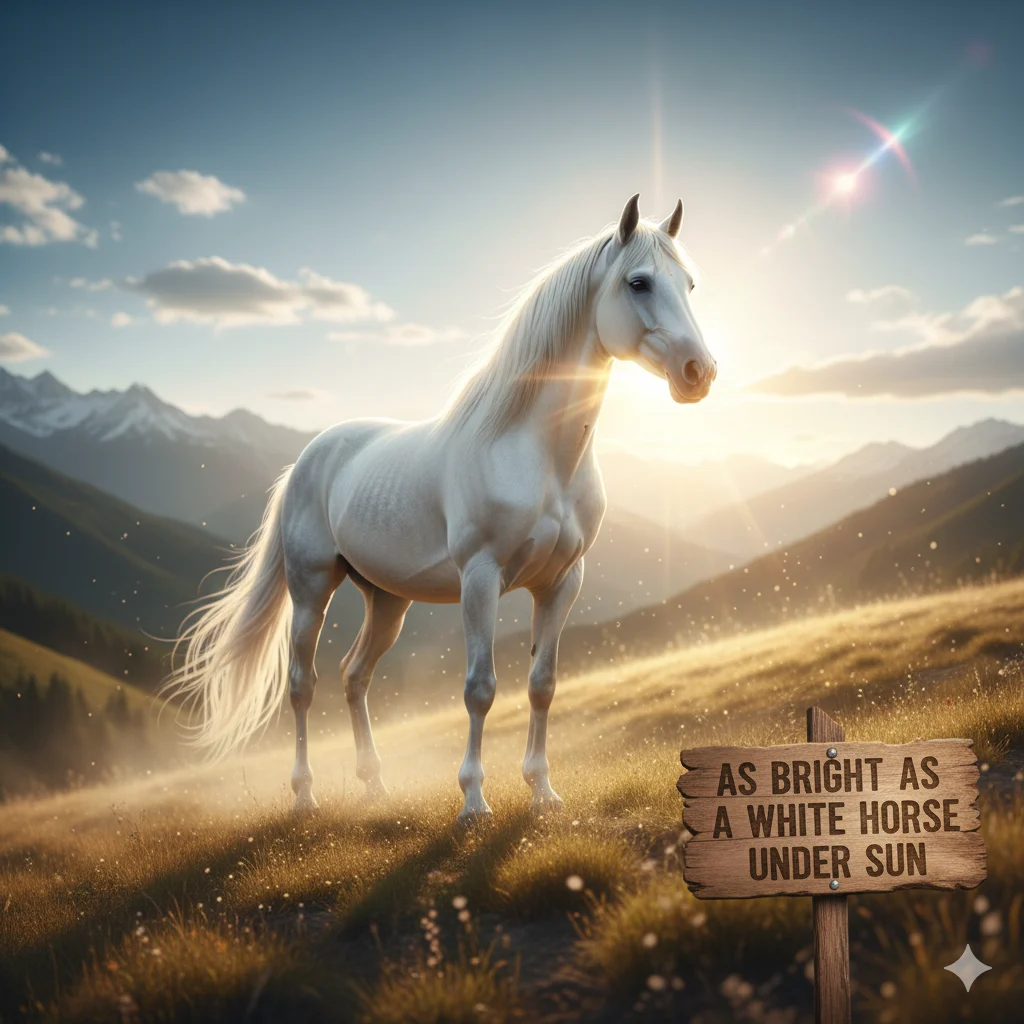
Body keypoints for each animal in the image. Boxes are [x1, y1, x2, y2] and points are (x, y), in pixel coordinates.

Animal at [166, 194, 716, 820]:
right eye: (638, 282)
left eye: (689, 284)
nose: (699, 373)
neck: (535, 453)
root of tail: (309, 456)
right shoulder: (481, 578)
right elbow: (480, 689)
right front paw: (474, 801)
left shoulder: (562, 582)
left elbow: (542, 685)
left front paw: (543, 791)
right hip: (311, 588)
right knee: (303, 684)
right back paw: (305, 795)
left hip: (387, 600)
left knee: (354, 676)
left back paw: (374, 784)